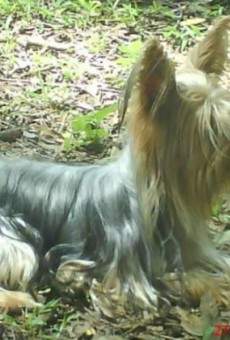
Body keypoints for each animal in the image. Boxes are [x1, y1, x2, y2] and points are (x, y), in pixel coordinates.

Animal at [0, 17, 230, 312]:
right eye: (213, 131)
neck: (161, 196)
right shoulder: (124, 275)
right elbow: (188, 280)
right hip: (15, 244)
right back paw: (19, 299)